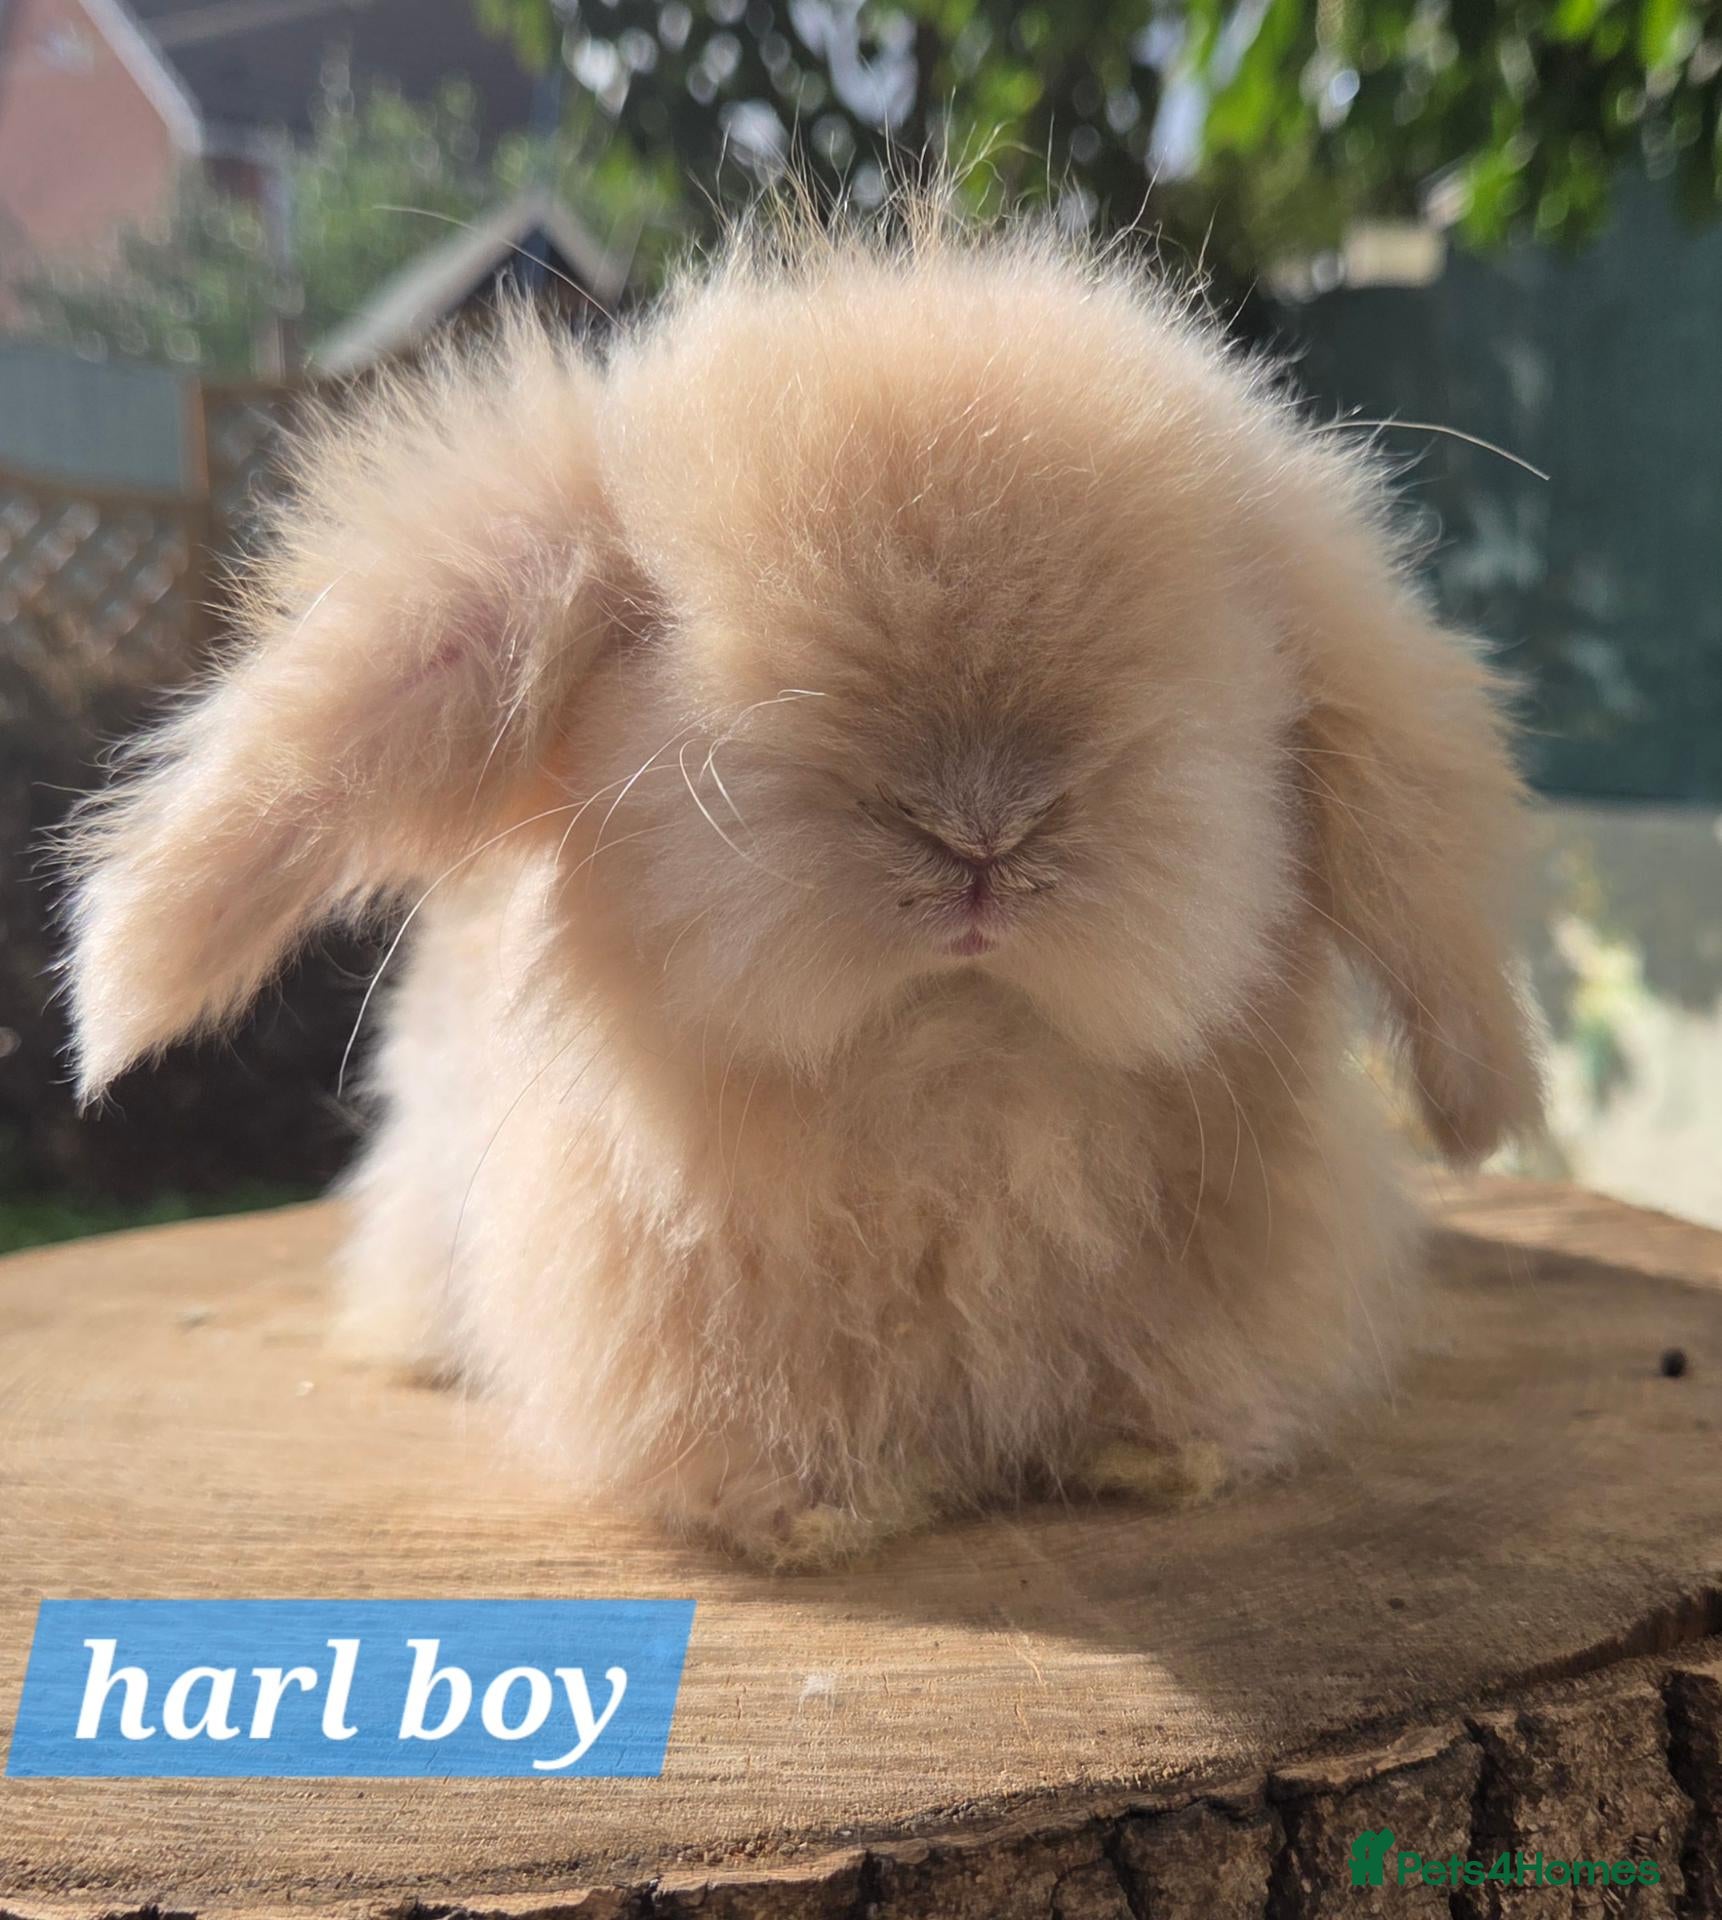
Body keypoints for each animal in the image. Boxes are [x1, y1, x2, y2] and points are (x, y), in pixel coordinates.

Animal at [63, 201, 1542, 1568]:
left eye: (1232, 643)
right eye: (655, 629)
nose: (978, 830)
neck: (959, 1070)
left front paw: (1159, 1452)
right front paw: (812, 1511)